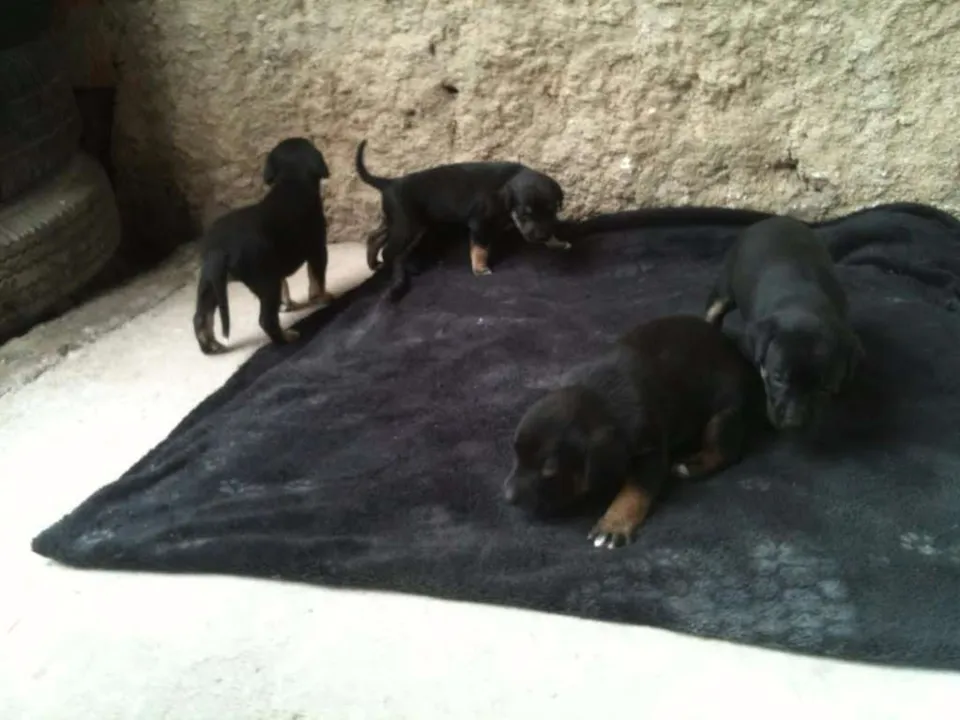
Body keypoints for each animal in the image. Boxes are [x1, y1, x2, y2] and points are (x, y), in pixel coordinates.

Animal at [193, 137, 334, 354]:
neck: (291, 181)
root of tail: (219, 248)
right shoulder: (317, 249)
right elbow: (317, 280)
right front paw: (323, 298)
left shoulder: (278, 265)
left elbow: (286, 285)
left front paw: (287, 304)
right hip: (266, 281)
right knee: (266, 320)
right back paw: (288, 337)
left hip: (210, 282)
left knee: (200, 317)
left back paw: (211, 347)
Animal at [355, 140, 569, 301]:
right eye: (525, 214)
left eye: (552, 212)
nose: (541, 237)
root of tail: (388, 183)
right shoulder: (479, 223)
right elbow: (480, 248)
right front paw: (481, 269)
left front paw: (557, 242)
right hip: (406, 226)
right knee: (389, 252)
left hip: (404, 222)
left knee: (375, 235)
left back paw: (373, 262)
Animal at [502, 315, 763, 549]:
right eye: (515, 453)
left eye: (549, 470)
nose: (508, 497)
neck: (600, 399)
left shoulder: (651, 449)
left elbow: (635, 489)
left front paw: (613, 525)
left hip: (723, 415)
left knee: (723, 451)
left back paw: (690, 466)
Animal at [705, 215, 864, 429]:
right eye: (777, 378)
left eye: (825, 387)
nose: (793, 423)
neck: (802, 305)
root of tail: (773, 219)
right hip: (725, 286)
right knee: (714, 310)